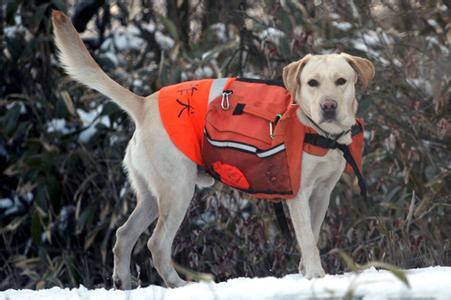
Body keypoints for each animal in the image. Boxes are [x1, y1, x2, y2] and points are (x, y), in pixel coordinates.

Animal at [52, 10, 374, 290]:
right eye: (312, 83)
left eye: (341, 81)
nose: (328, 106)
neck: (322, 134)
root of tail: (144, 104)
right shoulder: (298, 194)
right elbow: (307, 238)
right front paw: (316, 276)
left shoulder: (322, 194)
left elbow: (314, 234)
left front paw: (307, 272)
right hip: (178, 190)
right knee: (156, 243)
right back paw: (179, 284)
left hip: (153, 196)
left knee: (123, 235)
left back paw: (123, 283)